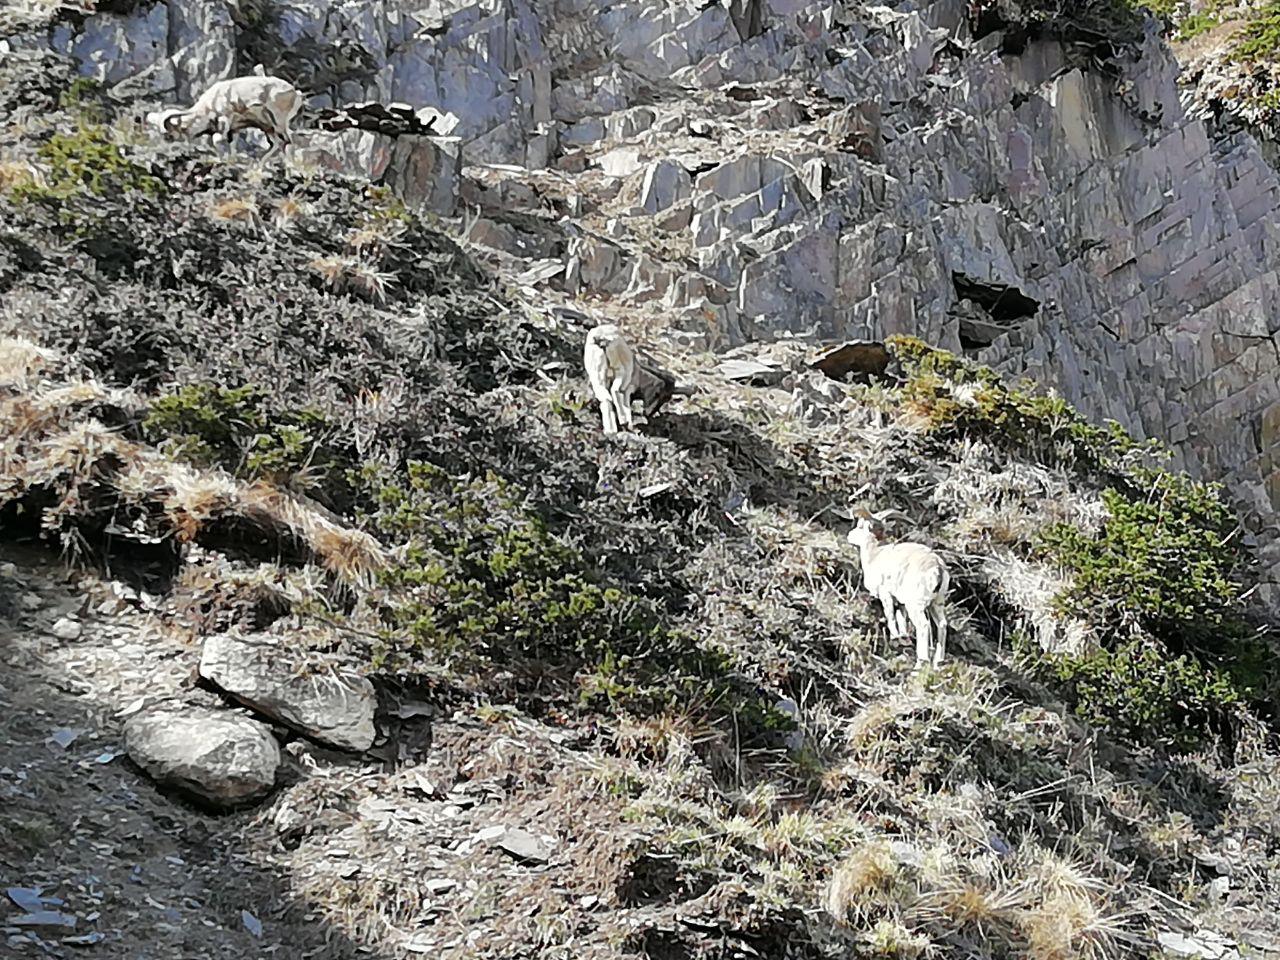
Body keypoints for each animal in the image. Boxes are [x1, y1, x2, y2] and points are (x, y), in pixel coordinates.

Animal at [145, 75, 304, 160]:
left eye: (169, 135)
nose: (166, 148)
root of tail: (295, 93)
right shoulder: (235, 129)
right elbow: (232, 146)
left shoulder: (225, 121)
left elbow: (216, 140)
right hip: (268, 128)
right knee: (279, 143)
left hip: (278, 123)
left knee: (286, 142)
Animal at [849, 512, 952, 670]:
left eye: (860, 526)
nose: (849, 535)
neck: (874, 555)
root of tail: (938, 567)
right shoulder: (900, 602)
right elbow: (901, 618)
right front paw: (902, 637)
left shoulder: (886, 594)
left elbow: (890, 615)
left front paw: (895, 637)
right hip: (937, 603)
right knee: (942, 625)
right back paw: (937, 663)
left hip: (916, 604)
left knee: (923, 625)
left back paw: (920, 663)